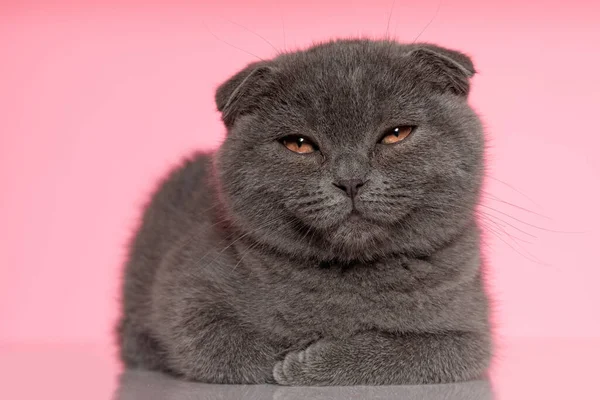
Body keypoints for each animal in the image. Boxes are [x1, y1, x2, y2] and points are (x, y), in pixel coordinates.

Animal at [116, 39, 492, 386]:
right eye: (299, 144)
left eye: (396, 134)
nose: (350, 179)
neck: (348, 275)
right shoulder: (185, 297)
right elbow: (224, 346)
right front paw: (289, 358)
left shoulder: (471, 334)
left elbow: (411, 351)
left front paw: (310, 363)